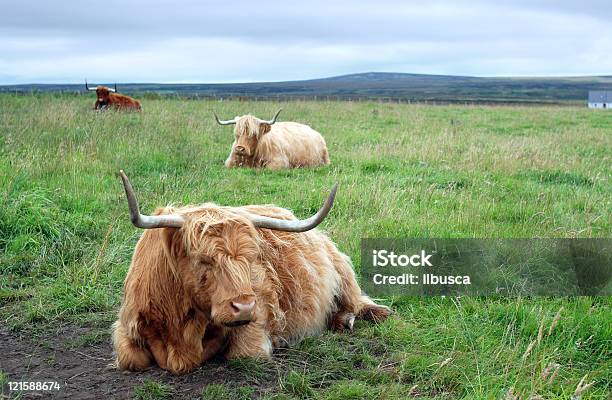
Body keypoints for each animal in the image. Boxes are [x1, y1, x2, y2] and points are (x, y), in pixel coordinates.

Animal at [112, 170, 390, 374]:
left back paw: (363, 316)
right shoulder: (127, 324)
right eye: (203, 260)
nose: (244, 307)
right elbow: (131, 359)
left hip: (342, 270)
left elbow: (244, 353)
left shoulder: (258, 316)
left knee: (357, 300)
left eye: (251, 258)